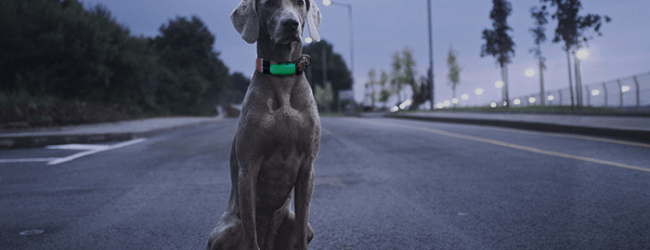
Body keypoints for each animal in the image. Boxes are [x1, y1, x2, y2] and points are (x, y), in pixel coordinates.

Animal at [206, 0, 320, 250]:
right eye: (270, 4)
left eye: (300, 3)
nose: (291, 24)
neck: (282, 74)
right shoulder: (248, 166)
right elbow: (251, 232)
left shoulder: (308, 167)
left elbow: (301, 227)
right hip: (226, 228)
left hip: (300, 225)